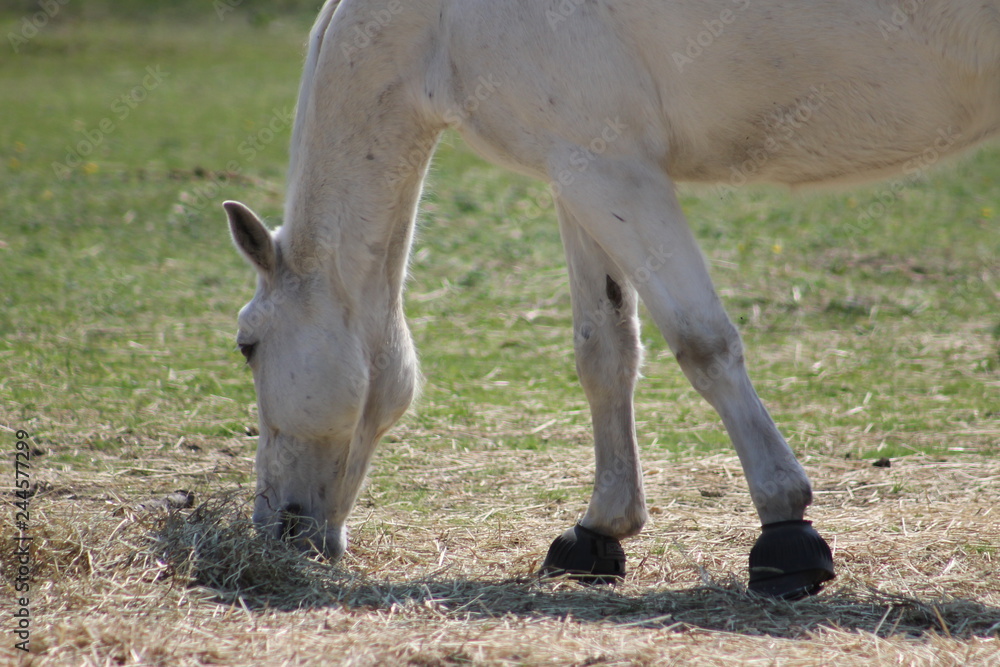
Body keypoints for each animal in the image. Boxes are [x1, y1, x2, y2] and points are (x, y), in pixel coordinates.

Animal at [223, 0, 1000, 599]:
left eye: (247, 346)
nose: (274, 531)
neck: (437, 22)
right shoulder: (579, 171)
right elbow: (606, 349)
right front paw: (601, 530)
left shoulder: (615, 173)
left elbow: (702, 342)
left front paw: (785, 533)